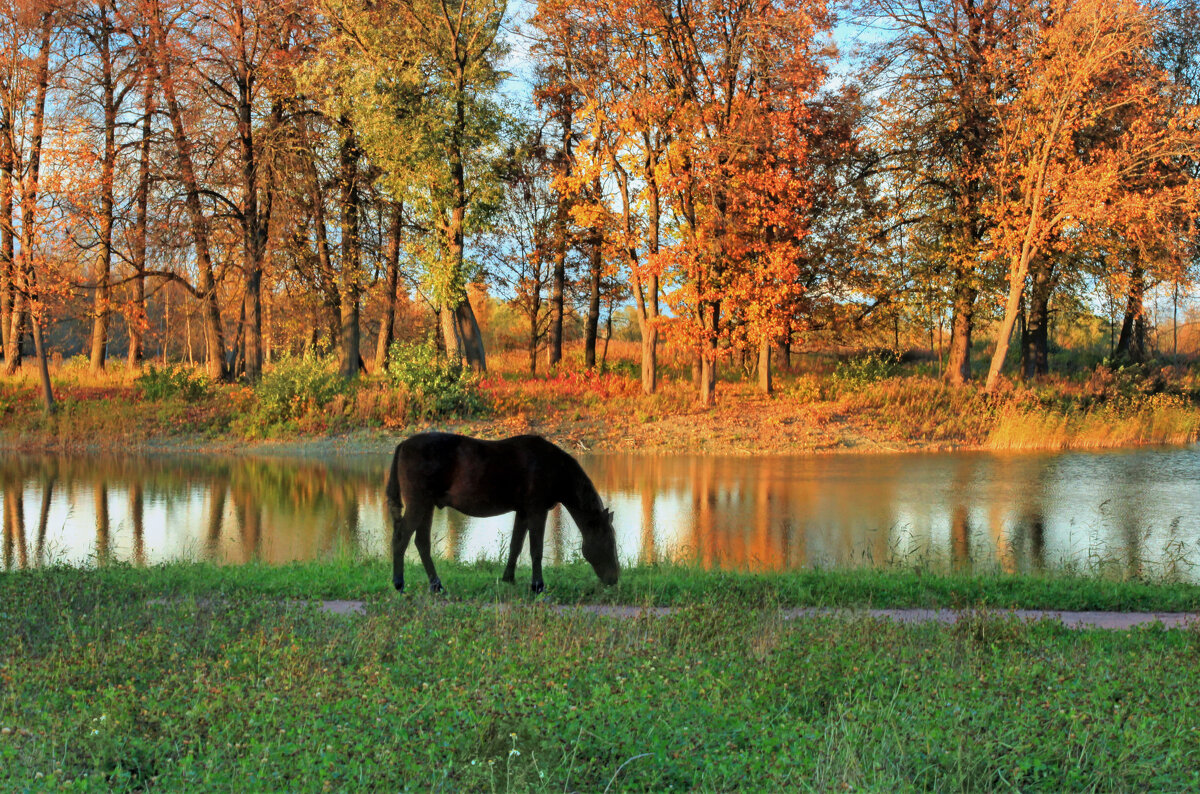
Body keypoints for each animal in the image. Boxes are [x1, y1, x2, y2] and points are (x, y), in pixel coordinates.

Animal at [388, 431, 624, 594]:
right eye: (609, 541)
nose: (615, 578)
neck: (554, 468)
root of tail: (403, 444)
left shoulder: (523, 511)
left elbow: (515, 546)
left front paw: (508, 578)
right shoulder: (537, 510)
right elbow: (536, 550)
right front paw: (538, 586)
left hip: (427, 506)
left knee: (421, 543)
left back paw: (436, 585)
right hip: (418, 504)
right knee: (401, 538)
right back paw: (399, 584)